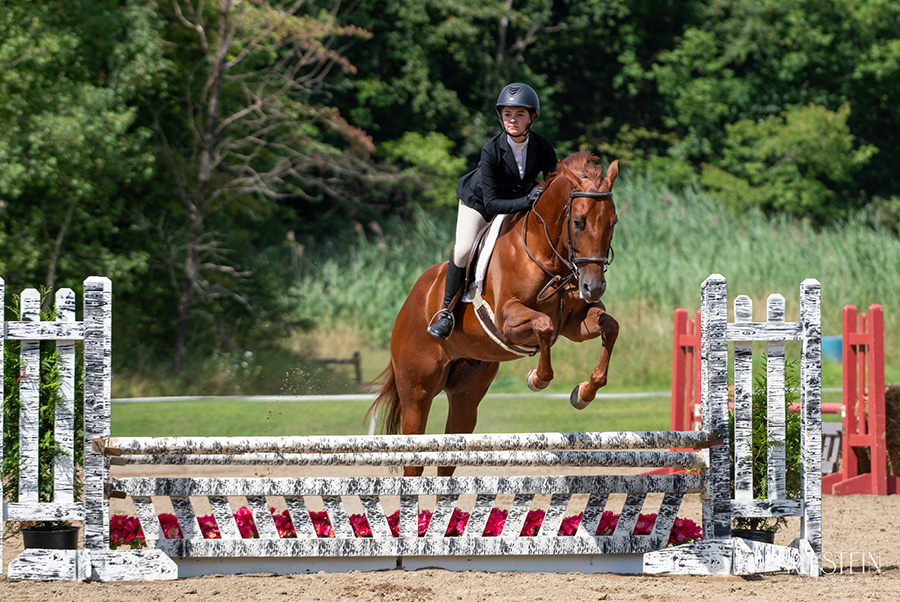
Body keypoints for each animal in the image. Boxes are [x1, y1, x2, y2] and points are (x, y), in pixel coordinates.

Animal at [370, 151, 616, 474]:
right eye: (577, 222)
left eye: (613, 222)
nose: (594, 287)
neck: (548, 254)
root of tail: (409, 302)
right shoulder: (507, 321)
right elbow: (544, 325)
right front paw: (536, 379)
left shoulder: (575, 323)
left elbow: (609, 326)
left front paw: (584, 393)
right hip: (417, 394)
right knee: (415, 456)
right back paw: (441, 323)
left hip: (466, 395)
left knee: (449, 454)